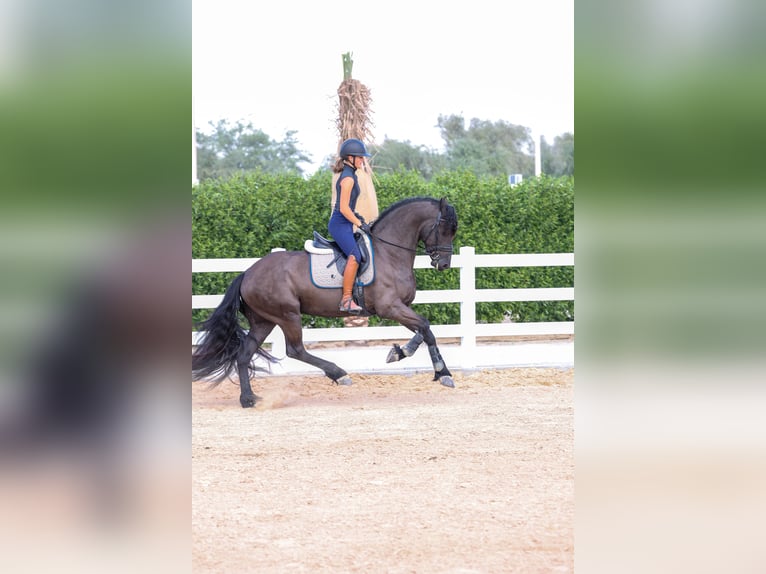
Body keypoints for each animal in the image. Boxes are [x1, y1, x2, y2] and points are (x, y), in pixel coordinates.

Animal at [192, 196, 459, 408]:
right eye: (445, 228)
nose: (444, 264)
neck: (389, 253)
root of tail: (247, 273)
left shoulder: (401, 306)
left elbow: (424, 331)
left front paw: (407, 355)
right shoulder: (390, 307)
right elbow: (425, 326)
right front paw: (436, 369)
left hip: (264, 321)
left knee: (244, 354)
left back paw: (248, 399)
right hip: (288, 315)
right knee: (295, 350)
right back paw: (338, 374)